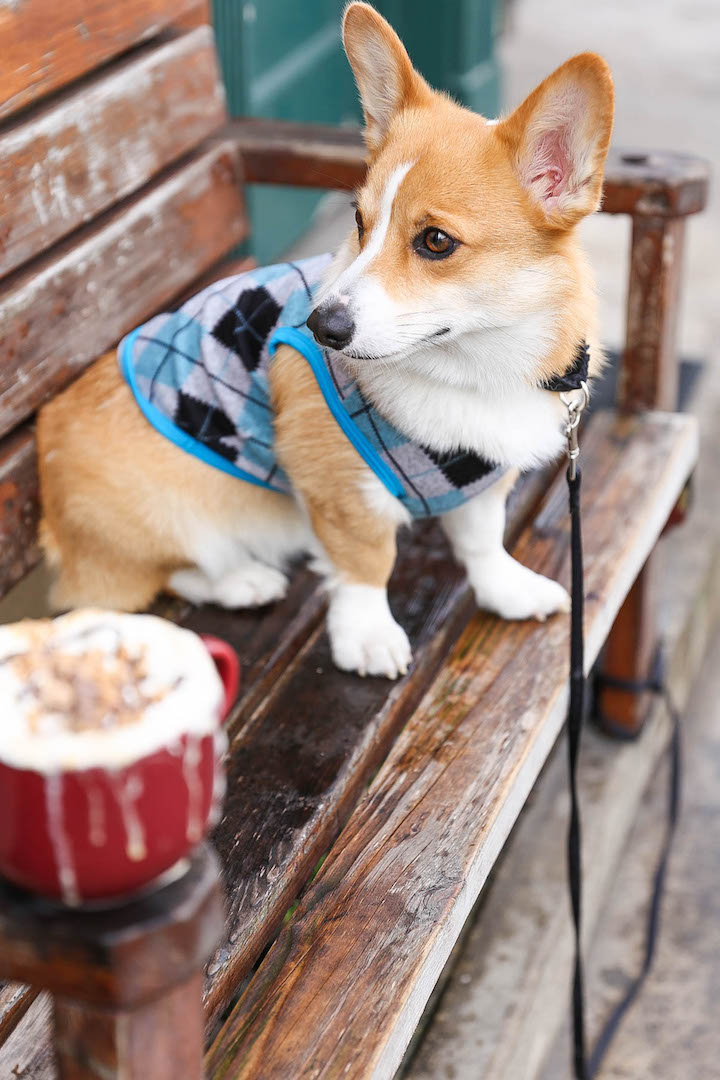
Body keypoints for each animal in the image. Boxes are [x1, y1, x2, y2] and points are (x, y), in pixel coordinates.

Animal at [36, 4, 613, 678]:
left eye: (436, 241)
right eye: (360, 222)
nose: (320, 327)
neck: (475, 366)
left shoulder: (483, 481)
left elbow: (482, 541)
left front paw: (507, 589)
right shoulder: (341, 490)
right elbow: (366, 565)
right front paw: (367, 637)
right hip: (165, 507)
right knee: (148, 583)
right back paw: (241, 581)